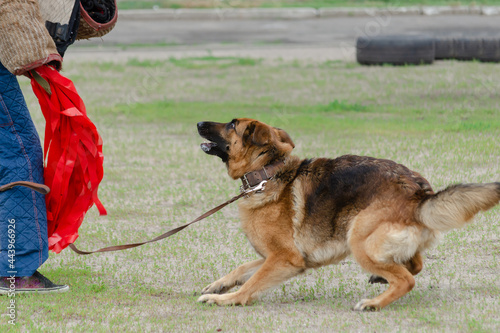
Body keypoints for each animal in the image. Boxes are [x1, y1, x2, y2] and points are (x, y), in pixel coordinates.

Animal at [196, 118, 500, 310]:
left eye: (232, 124)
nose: (199, 124)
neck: (267, 173)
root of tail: (419, 192)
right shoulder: (276, 258)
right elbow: (241, 269)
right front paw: (218, 286)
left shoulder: (285, 258)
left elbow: (251, 284)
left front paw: (226, 300)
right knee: (414, 264)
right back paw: (382, 279)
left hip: (359, 239)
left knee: (408, 278)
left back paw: (374, 303)